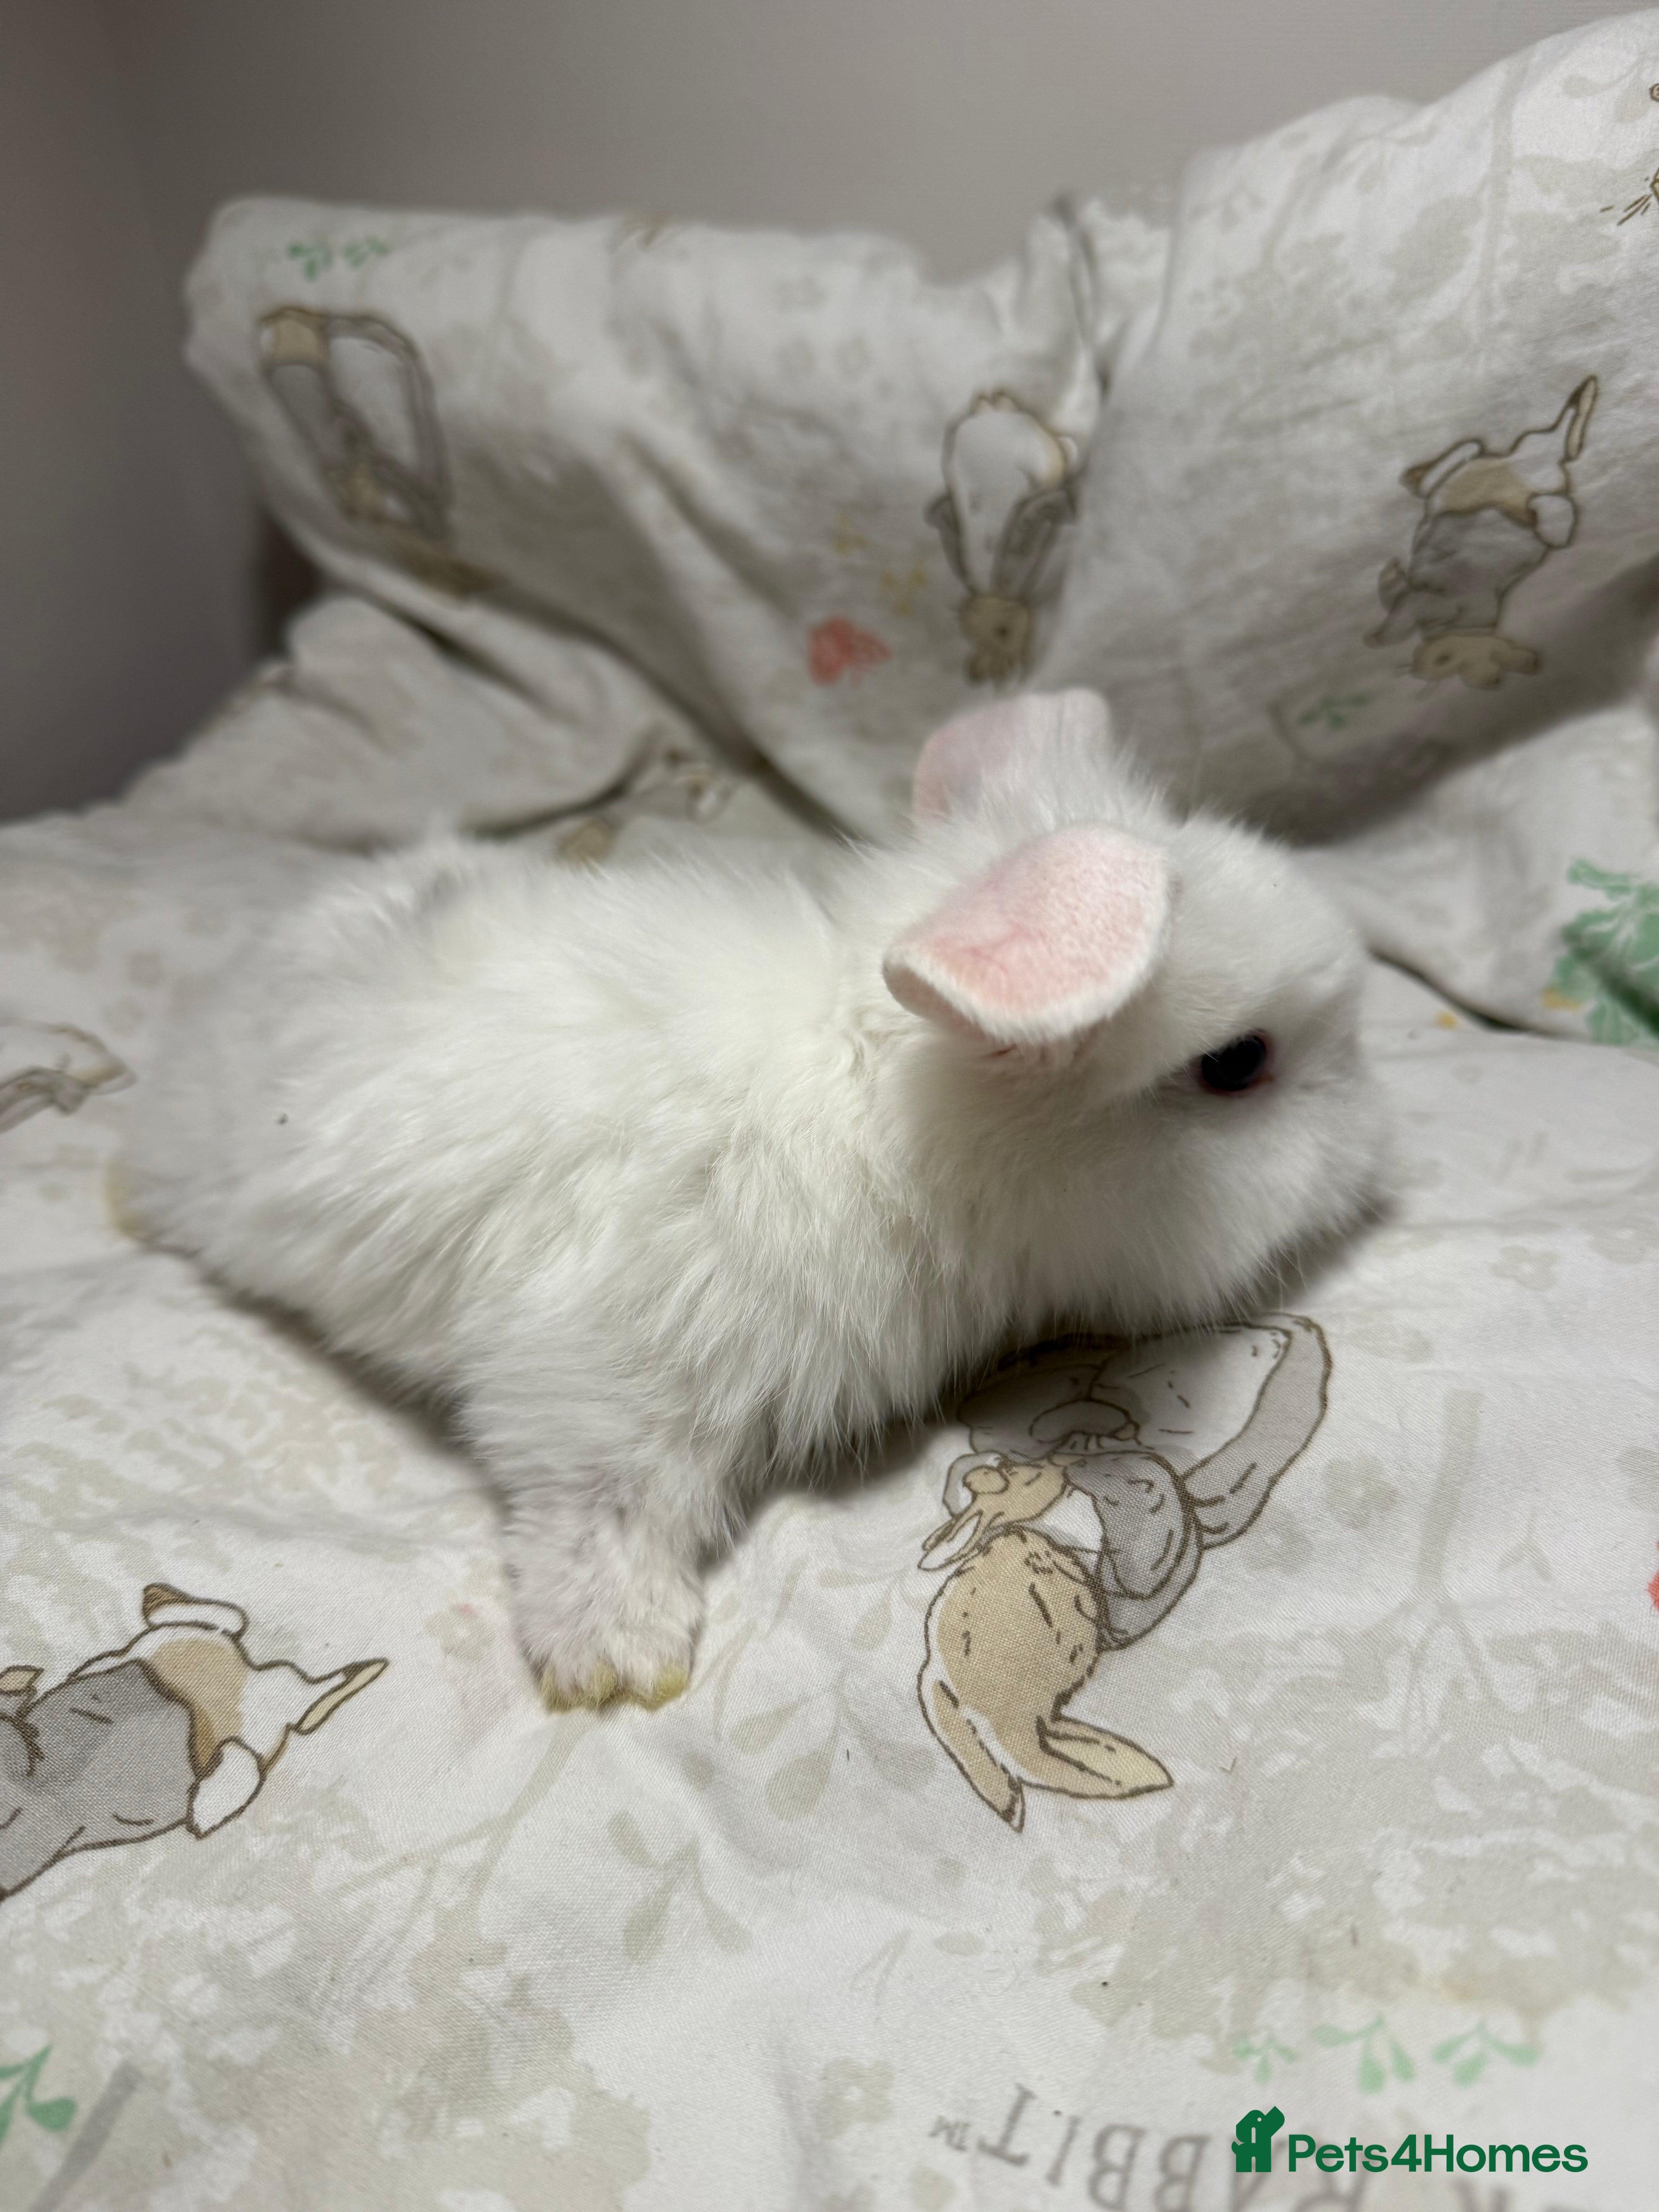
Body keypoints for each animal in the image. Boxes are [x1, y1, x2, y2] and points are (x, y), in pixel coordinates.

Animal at [122, 687, 1388, 1711]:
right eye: (1238, 1063)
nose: (1381, 1156)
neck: (899, 1122)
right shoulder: (607, 1370)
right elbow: (598, 1504)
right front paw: (618, 1663)